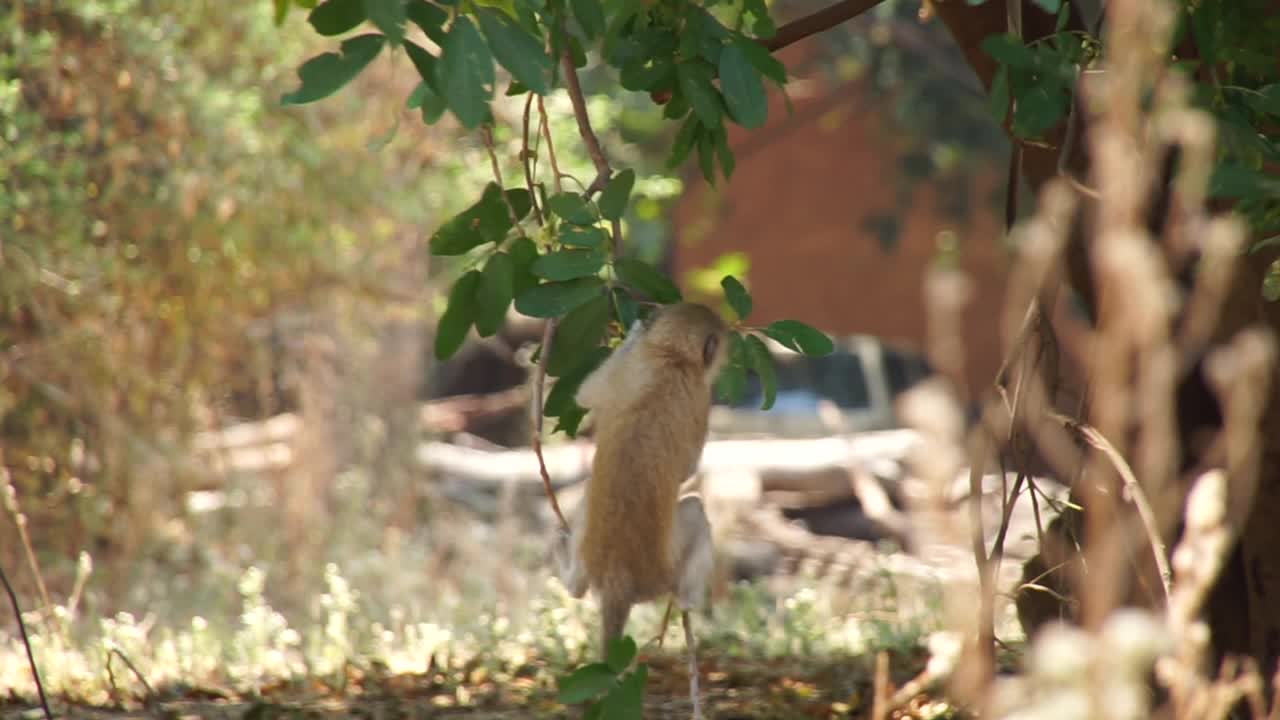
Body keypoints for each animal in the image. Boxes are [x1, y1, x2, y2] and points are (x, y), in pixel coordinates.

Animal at [552, 299, 732, 712]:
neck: (671, 358)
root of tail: (618, 575)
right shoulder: (699, 395)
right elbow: (688, 469)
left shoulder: (634, 367)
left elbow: (585, 396)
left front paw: (634, 332)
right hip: (661, 571)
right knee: (695, 510)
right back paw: (688, 600)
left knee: (588, 494)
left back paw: (573, 581)